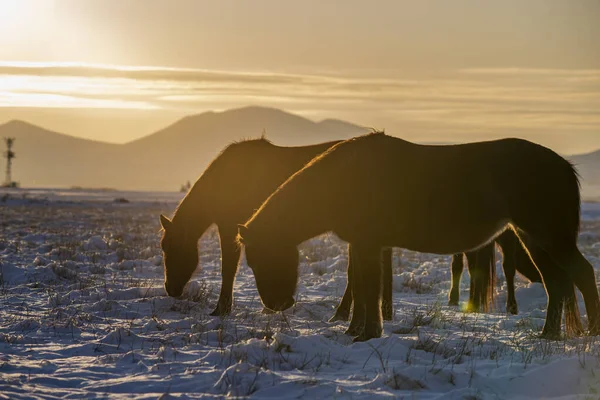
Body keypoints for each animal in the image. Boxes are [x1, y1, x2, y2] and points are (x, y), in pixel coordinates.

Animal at [238, 132, 596, 340]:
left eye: (261, 258)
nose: (279, 305)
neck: (343, 178)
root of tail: (565, 167)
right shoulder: (361, 243)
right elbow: (360, 285)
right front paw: (355, 328)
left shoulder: (369, 243)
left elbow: (368, 287)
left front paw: (368, 333)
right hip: (532, 238)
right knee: (557, 284)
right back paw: (549, 335)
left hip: (549, 237)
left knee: (582, 274)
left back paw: (591, 331)